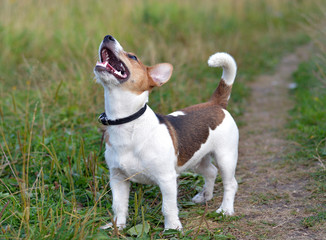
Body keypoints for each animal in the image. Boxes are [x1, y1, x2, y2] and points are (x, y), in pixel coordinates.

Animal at [93, 34, 238, 230]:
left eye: (132, 57)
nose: (108, 36)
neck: (126, 123)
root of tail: (215, 103)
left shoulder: (167, 179)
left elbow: (168, 207)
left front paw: (172, 228)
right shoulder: (118, 179)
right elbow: (119, 206)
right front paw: (118, 226)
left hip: (226, 157)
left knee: (230, 183)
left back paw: (225, 209)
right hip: (195, 159)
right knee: (211, 172)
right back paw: (205, 196)